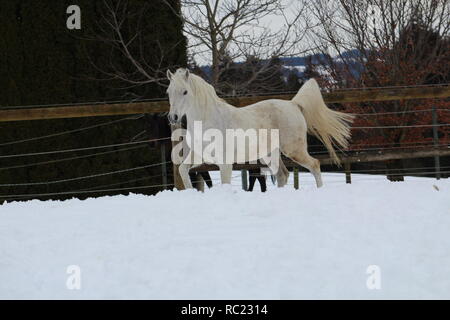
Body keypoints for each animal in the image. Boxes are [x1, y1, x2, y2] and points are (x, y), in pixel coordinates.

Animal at [167, 69, 354, 189]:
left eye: (185, 92)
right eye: (169, 91)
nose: (173, 117)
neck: (207, 121)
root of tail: (293, 104)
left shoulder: (225, 162)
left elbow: (225, 182)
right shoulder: (198, 156)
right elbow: (183, 170)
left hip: (293, 150)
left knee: (314, 165)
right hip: (269, 154)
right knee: (282, 175)